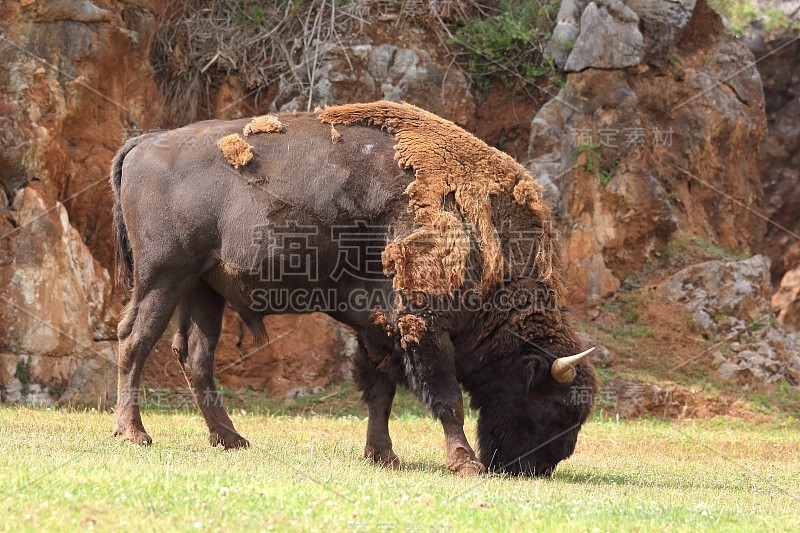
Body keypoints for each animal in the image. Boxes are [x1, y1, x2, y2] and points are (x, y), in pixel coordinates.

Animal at [109, 102, 596, 476]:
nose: (538, 468)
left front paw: (384, 456)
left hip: (204, 287)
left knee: (195, 356)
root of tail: (144, 142)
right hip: (163, 275)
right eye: (557, 409)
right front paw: (465, 463)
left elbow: (380, 392)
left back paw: (231, 439)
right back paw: (134, 434)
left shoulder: (377, 327)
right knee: (135, 341)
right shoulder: (422, 326)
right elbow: (446, 398)